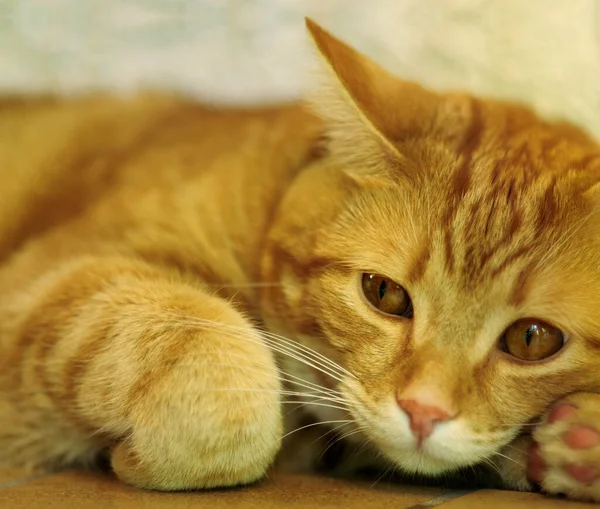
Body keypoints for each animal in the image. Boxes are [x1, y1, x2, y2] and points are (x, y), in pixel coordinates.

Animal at [1, 18, 600, 500]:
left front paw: (574, 443)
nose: (423, 411)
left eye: (532, 339)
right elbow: (227, 383)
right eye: (385, 294)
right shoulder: (46, 284)